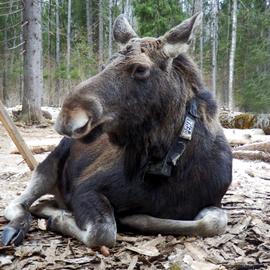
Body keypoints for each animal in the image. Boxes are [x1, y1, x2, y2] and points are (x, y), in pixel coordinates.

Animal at [1, 13, 232, 249]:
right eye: (105, 64)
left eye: (140, 69)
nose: (67, 117)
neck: (171, 163)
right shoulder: (85, 189)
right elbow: (103, 231)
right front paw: (61, 219)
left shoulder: (215, 202)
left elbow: (214, 222)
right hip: (48, 165)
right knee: (18, 203)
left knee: (41, 203)